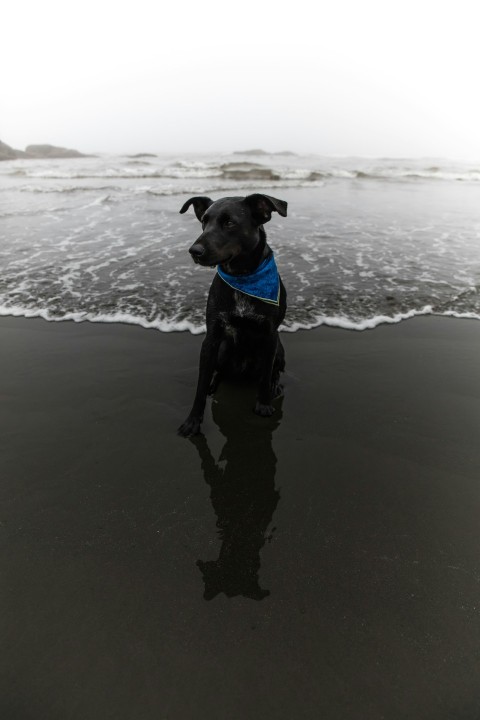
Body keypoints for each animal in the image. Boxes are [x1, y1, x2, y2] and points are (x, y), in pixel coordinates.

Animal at [177, 191, 286, 436]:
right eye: (204, 221)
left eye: (229, 223)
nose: (194, 251)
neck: (242, 276)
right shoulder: (211, 338)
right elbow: (200, 384)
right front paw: (193, 420)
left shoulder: (270, 335)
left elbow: (266, 374)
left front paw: (263, 403)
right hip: (223, 349)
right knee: (219, 371)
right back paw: (215, 382)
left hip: (280, 348)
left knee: (274, 370)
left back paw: (274, 385)